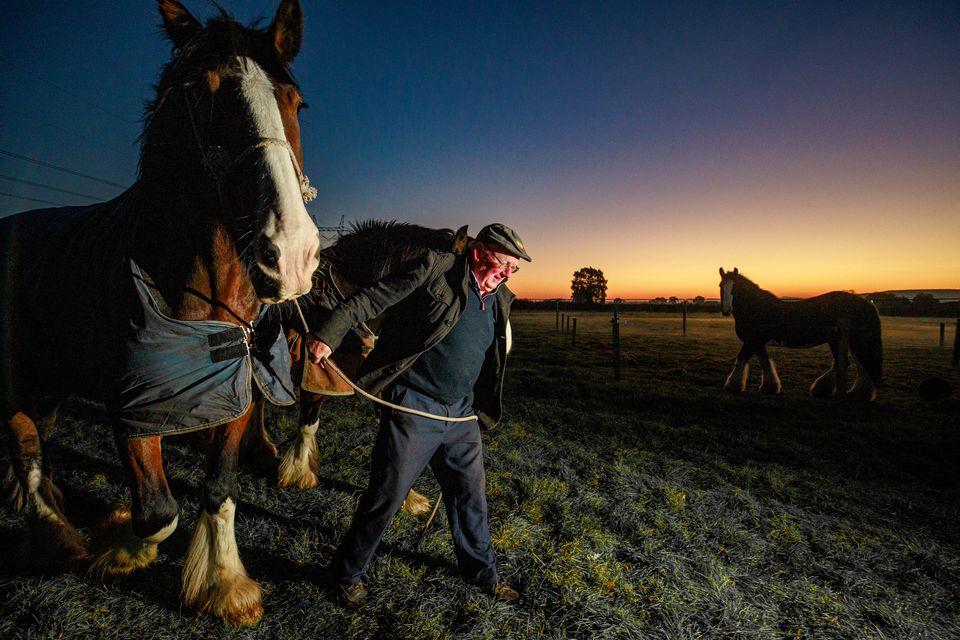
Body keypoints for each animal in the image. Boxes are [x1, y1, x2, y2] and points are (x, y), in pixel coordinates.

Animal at [0, 0, 322, 624]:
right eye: (202, 92)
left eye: (295, 102)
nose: (291, 253)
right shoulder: (135, 407)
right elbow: (157, 513)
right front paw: (120, 542)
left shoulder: (234, 394)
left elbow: (218, 489)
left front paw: (224, 583)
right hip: (18, 378)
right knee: (26, 450)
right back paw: (56, 537)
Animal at [716, 268, 880, 400]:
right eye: (720, 286)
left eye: (735, 287)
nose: (726, 310)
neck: (756, 308)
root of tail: (865, 303)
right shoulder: (757, 343)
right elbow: (765, 362)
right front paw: (770, 387)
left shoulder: (752, 341)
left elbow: (740, 360)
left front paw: (732, 386)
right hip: (842, 340)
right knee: (855, 364)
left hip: (849, 340)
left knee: (857, 363)